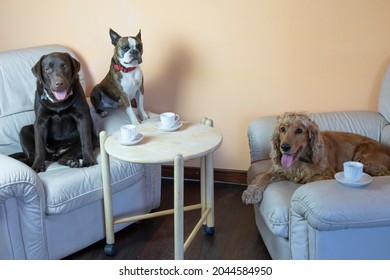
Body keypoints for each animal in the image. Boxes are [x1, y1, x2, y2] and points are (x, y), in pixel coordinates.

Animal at [242, 111, 390, 203]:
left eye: (299, 130)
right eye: (282, 129)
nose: (284, 147)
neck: (298, 162)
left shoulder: (326, 174)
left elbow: (307, 179)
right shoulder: (279, 169)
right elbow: (263, 176)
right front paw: (252, 192)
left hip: (364, 156)